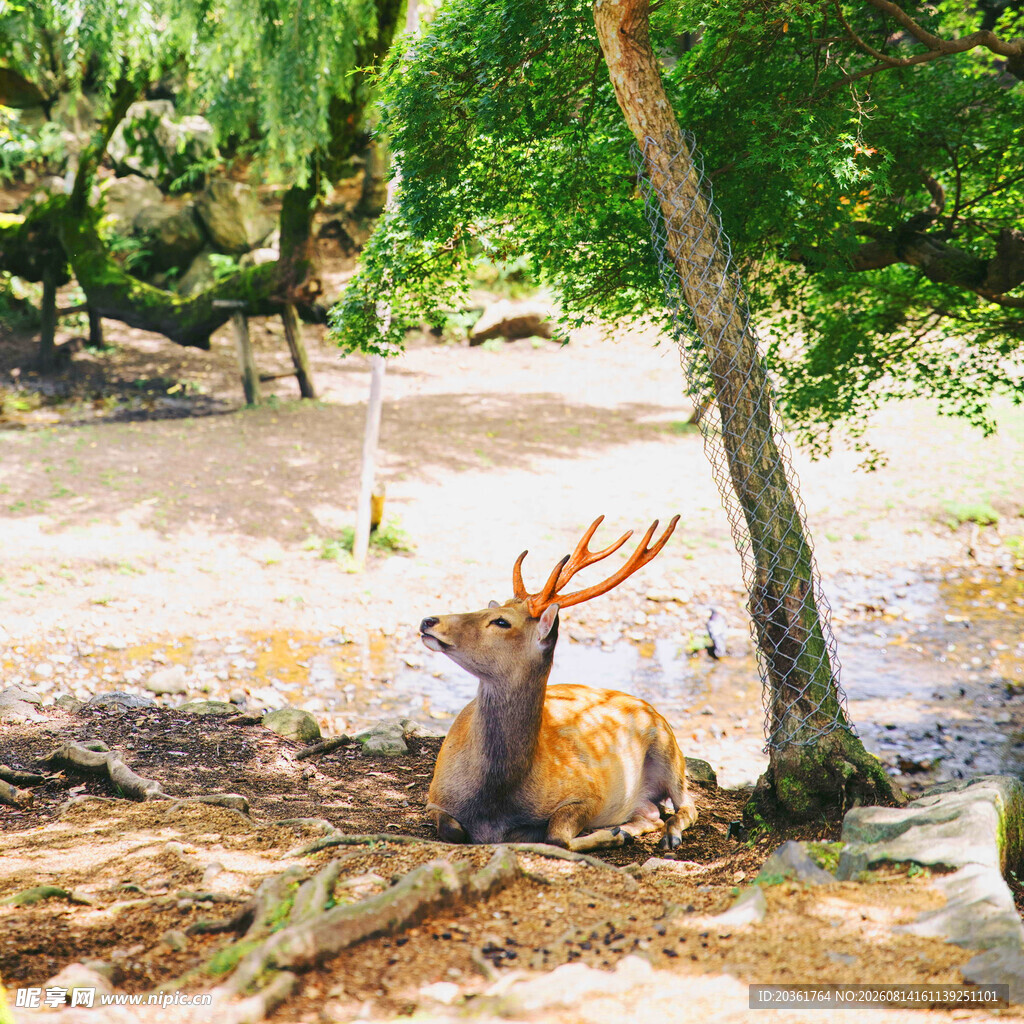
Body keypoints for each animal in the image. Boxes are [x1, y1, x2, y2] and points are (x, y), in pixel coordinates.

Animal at [419, 515, 698, 853]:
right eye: (488, 609)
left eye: (501, 622)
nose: (428, 621)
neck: (494, 801)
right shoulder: (435, 796)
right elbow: (452, 830)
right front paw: (616, 833)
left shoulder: (588, 792)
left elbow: (557, 836)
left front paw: (609, 835)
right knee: (652, 812)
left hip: (670, 748)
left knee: (687, 805)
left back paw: (664, 834)